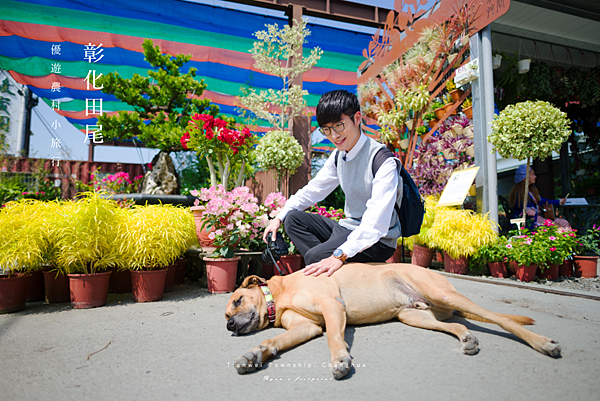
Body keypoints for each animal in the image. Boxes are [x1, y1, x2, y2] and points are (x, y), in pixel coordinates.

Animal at [225, 262, 564, 378]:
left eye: (237, 301)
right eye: (226, 315)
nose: (229, 326)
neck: (278, 295)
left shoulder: (332, 308)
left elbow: (334, 338)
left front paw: (341, 360)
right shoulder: (307, 326)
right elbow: (271, 341)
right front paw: (253, 356)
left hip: (443, 294)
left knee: (498, 319)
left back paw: (543, 343)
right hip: (414, 314)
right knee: (456, 324)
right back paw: (466, 338)